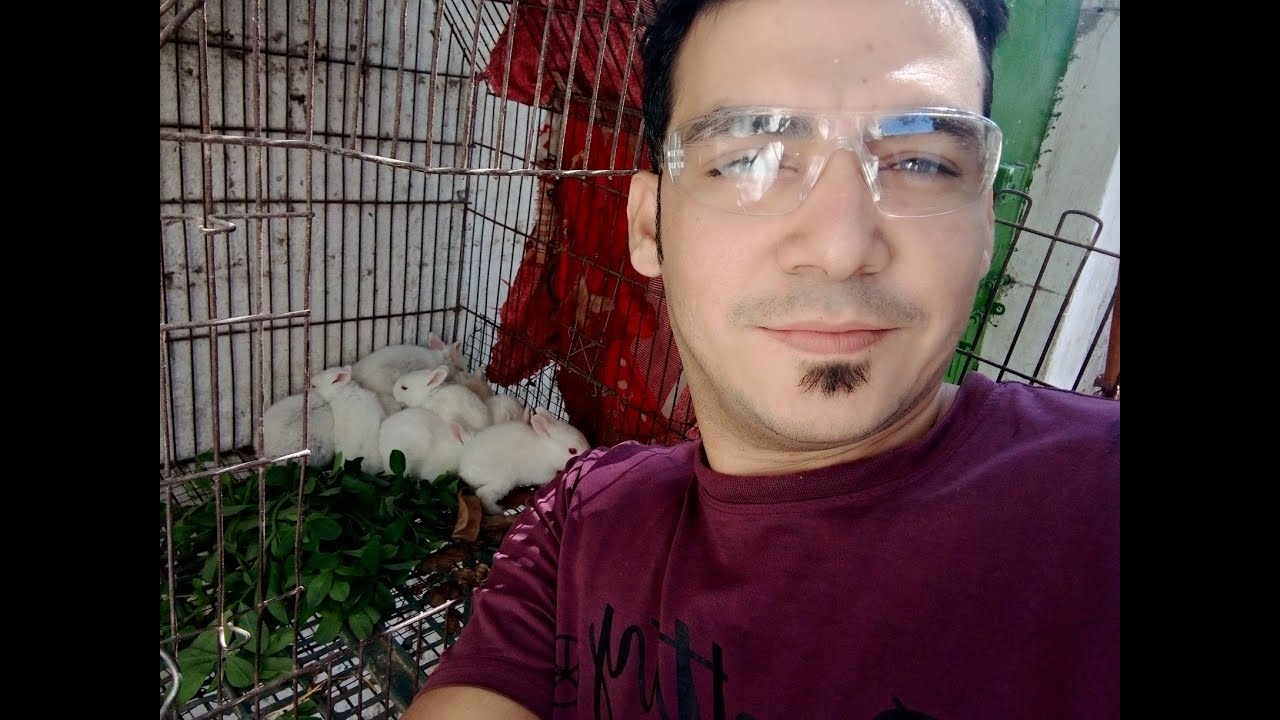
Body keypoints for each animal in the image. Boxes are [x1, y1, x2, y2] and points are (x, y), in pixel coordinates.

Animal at [457, 408, 591, 514]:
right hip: (503, 481)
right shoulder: (544, 475)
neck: (547, 451)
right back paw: (497, 511)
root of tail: (465, 470)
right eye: (572, 451)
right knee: (483, 494)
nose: (589, 451)